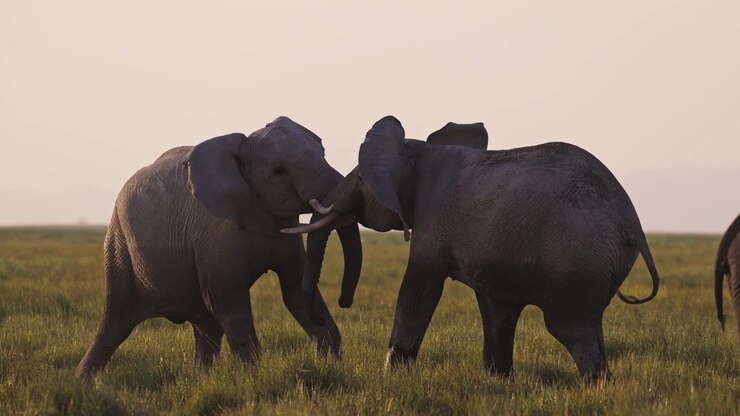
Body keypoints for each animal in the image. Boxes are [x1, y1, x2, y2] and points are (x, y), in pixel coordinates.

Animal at [77, 116, 362, 377]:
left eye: (323, 153)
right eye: (279, 171)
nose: (344, 302)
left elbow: (293, 290)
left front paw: (331, 365)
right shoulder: (215, 230)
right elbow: (228, 298)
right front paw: (254, 376)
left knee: (206, 323)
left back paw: (200, 378)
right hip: (119, 241)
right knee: (116, 320)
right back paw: (84, 381)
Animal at [283, 116, 660, 382]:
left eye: (360, 179)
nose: (341, 304)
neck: (418, 151)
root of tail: (631, 223)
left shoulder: (433, 220)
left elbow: (418, 292)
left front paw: (390, 376)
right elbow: (497, 309)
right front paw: (499, 382)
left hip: (578, 258)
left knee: (571, 326)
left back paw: (596, 387)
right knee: (585, 325)